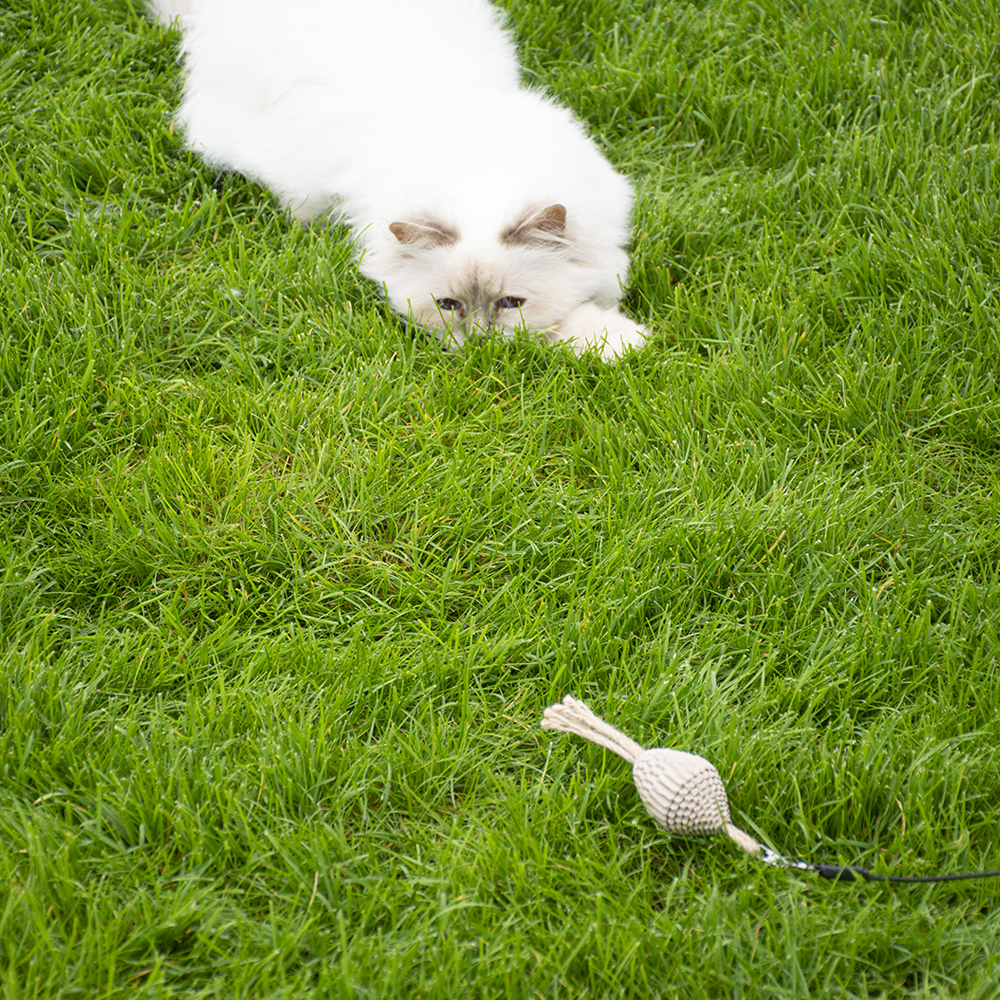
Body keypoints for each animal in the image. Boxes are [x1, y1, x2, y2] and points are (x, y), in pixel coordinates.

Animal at [146, 0, 648, 360]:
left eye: (510, 304)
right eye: (448, 306)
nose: (479, 345)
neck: (477, 168)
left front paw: (621, 341)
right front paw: (616, 342)